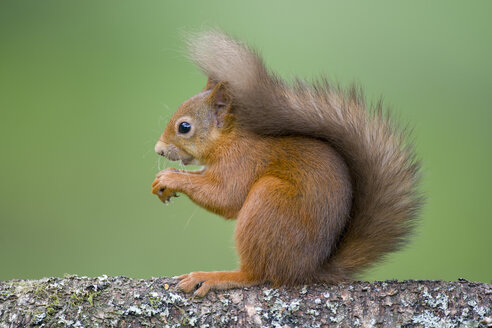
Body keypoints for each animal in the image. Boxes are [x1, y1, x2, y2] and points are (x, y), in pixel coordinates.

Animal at [151, 31, 422, 298]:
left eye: (184, 127)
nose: (158, 149)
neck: (230, 139)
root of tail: (307, 270)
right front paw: (166, 178)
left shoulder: (242, 163)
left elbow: (225, 197)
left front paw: (171, 178)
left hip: (269, 201)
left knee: (257, 274)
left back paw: (215, 277)